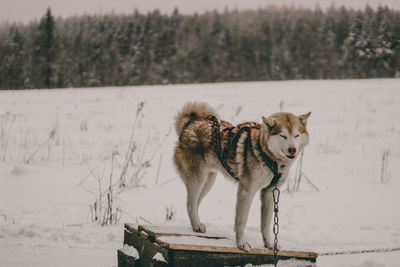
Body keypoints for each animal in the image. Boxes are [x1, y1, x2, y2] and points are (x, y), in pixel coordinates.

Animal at [173, 102, 310, 251]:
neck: (268, 156)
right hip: (198, 179)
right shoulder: (246, 191)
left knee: (194, 203)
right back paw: (197, 225)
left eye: (296, 135)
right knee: (190, 204)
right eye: (283, 135)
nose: (292, 150)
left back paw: (197, 225)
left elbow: (266, 224)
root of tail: (190, 124)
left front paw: (269, 244)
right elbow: (242, 221)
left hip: (208, 181)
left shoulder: (268, 192)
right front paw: (241, 244)